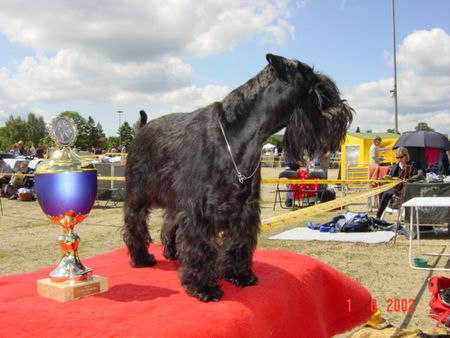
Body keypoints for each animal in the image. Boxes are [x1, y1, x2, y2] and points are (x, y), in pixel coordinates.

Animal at [122, 54, 352, 302]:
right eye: (320, 91)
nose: (345, 113)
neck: (239, 135)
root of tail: (142, 129)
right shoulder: (199, 210)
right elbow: (201, 247)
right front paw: (203, 287)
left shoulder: (245, 209)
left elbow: (239, 243)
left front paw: (239, 275)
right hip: (139, 194)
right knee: (135, 222)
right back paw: (141, 258)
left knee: (169, 224)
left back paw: (172, 253)